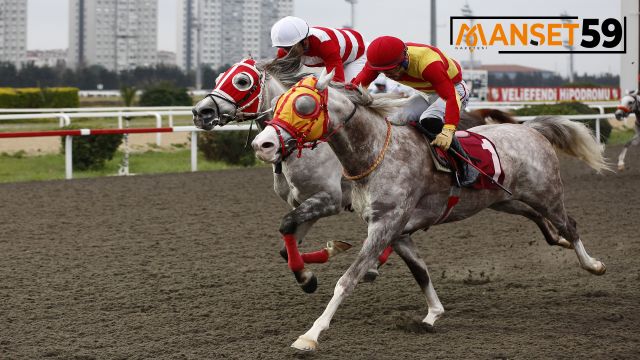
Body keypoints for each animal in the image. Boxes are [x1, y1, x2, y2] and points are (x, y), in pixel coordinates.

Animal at [190, 59, 516, 292]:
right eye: (219, 78)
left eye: (242, 80)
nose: (200, 112)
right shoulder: (305, 203)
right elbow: (286, 244)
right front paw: (317, 263)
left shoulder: (329, 199)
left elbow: (288, 229)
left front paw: (311, 275)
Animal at [251, 70, 608, 352]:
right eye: (277, 106)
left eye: (304, 105)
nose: (262, 144)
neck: (376, 154)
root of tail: (530, 128)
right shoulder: (395, 230)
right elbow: (420, 270)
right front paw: (432, 314)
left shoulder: (385, 225)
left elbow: (347, 279)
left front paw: (310, 335)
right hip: (505, 199)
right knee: (541, 221)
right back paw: (558, 242)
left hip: (546, 193)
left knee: (570, 223)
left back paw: (593, 264)